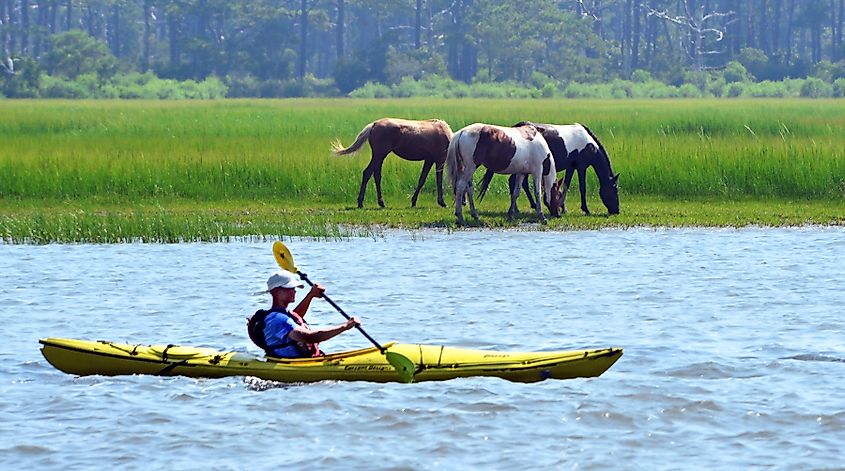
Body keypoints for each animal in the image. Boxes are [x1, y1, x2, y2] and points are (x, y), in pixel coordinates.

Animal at [477, 122, 619, 215]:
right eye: (614, 190)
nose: (617, 211)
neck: (590, 144)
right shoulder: (581, 166)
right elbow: (582, 188)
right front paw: (586, 209)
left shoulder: (571, 167)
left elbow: (566, 185)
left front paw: (563, 207)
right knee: (516, 182)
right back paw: (527, 207)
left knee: (518, 183)